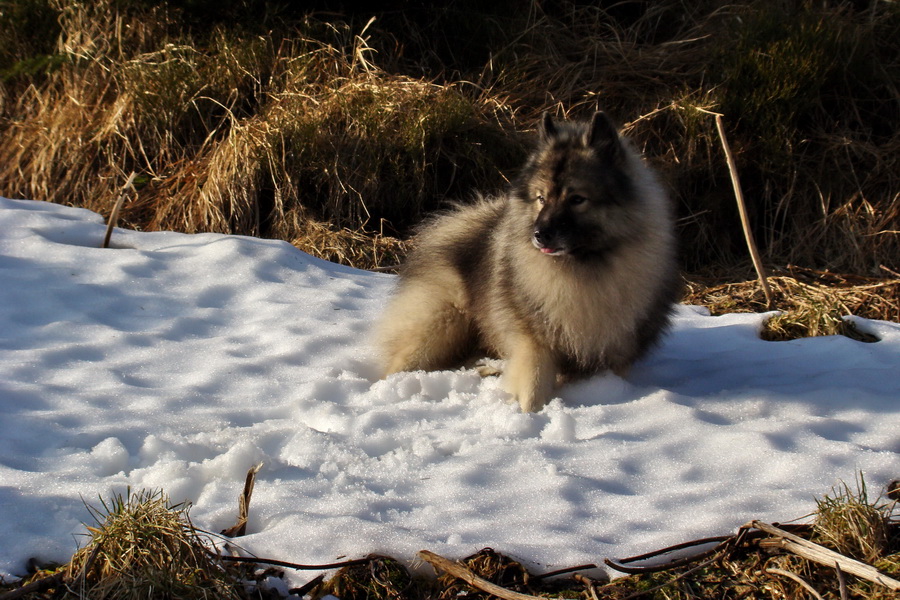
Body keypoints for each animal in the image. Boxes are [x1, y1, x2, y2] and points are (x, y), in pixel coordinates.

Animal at [376, 111, 680, 412]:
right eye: (541, 198)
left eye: (577, 199)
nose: (539, 234)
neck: (583, 269)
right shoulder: (535, 342)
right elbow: (532, 385)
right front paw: (527, 414)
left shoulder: (614, 355)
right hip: (445, 321)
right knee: (399, 364)